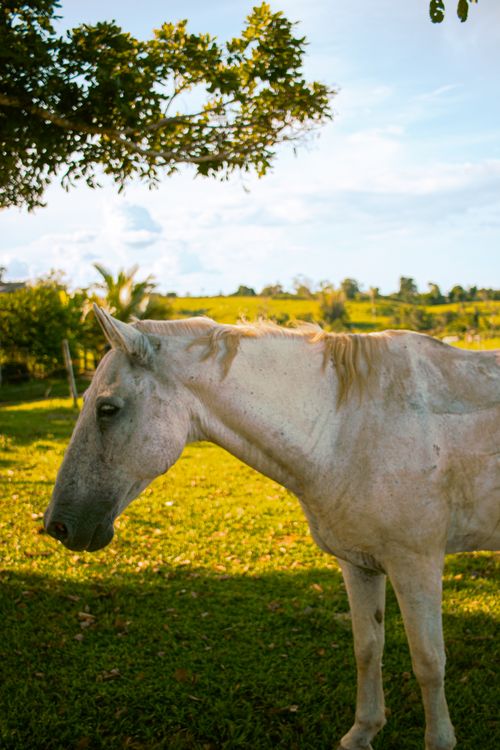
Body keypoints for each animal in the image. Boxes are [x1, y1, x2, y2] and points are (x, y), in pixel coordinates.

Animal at [44, 304, 500, 750]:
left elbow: (428, 662)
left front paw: (438, 739)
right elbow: (368, 648)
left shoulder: (416, 564)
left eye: (107, 409)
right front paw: (363, 731)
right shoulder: (360, 565)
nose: (57, 526)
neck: (347, 428)